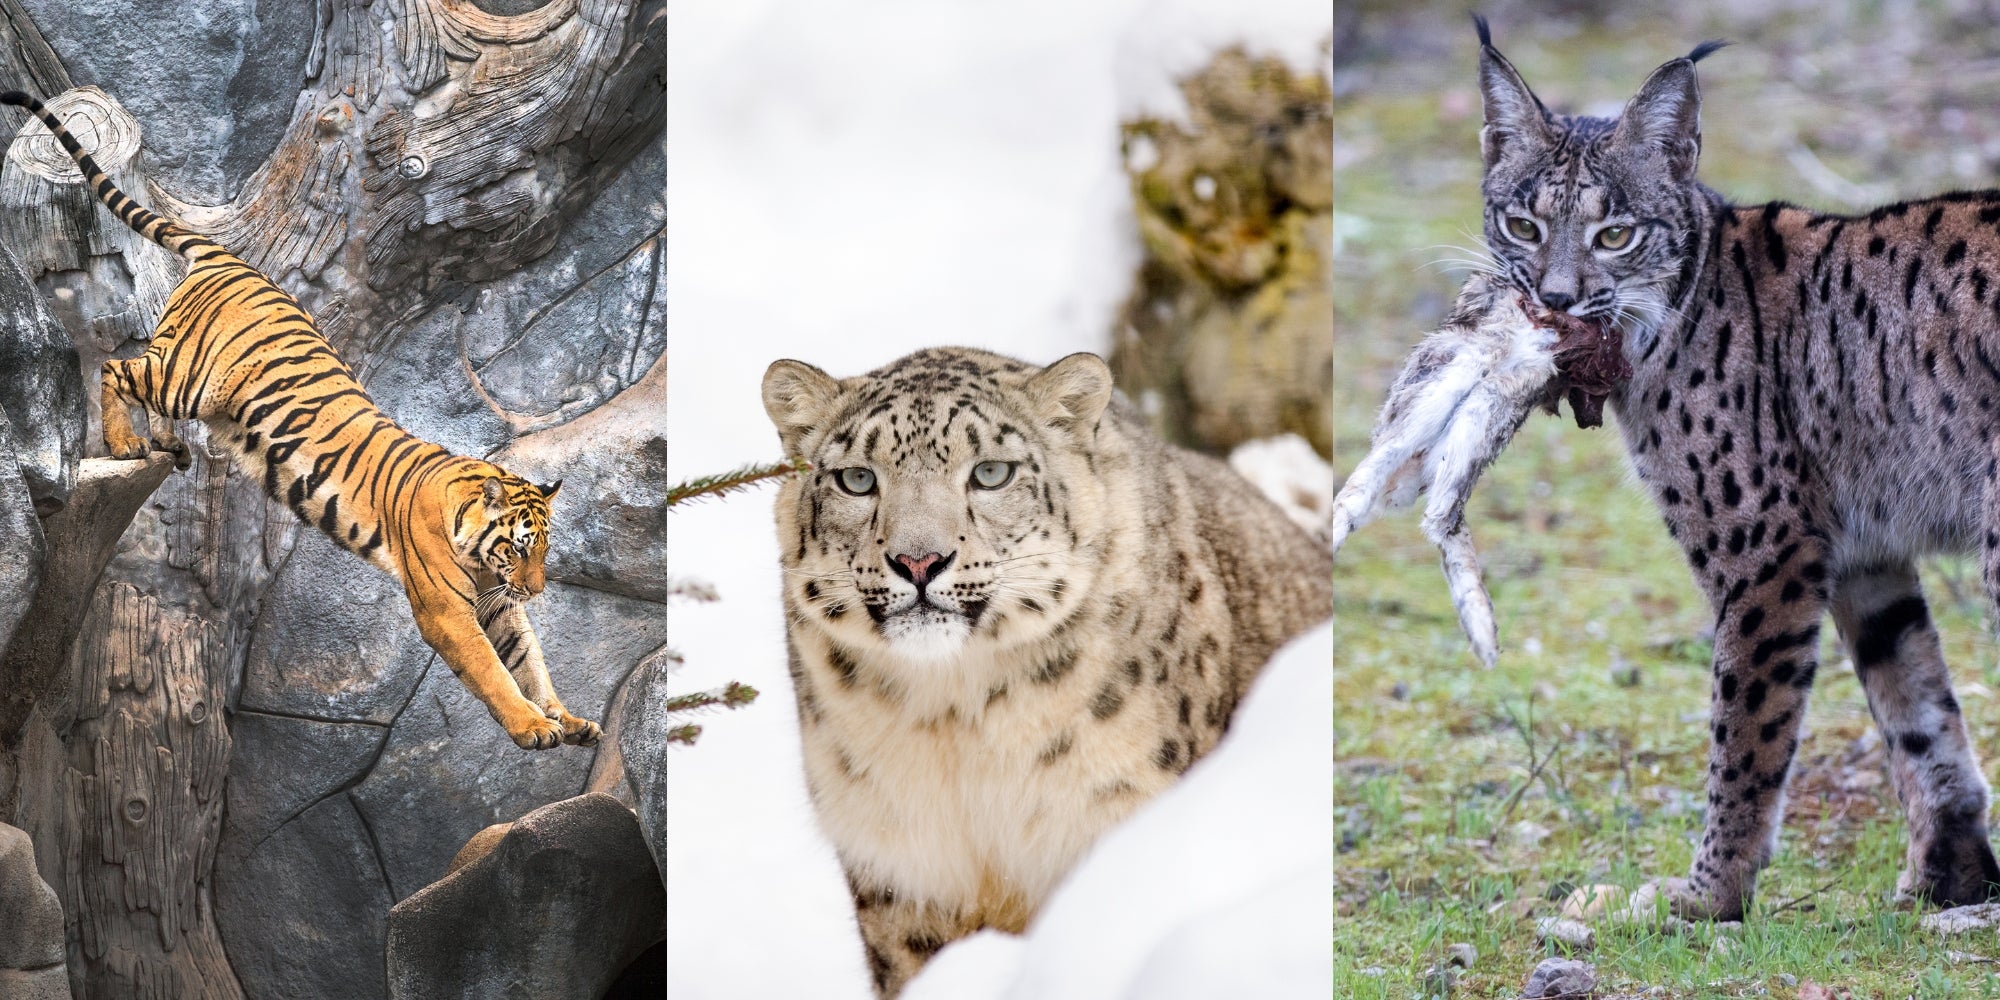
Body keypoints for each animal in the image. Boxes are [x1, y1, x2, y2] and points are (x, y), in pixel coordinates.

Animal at [0, 92, 596, 752]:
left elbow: (529, 661)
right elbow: (495, 672)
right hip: (189, 377)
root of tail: (230, 259)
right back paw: (126, 442)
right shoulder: (448, 610)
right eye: (517, 547)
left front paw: (567, 719)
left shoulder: (497, 605)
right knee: (116, 366)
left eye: (542, 549)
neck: (476, 547)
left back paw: (165, 445)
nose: (537, 590)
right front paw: (531, 726)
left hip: (187, 377)